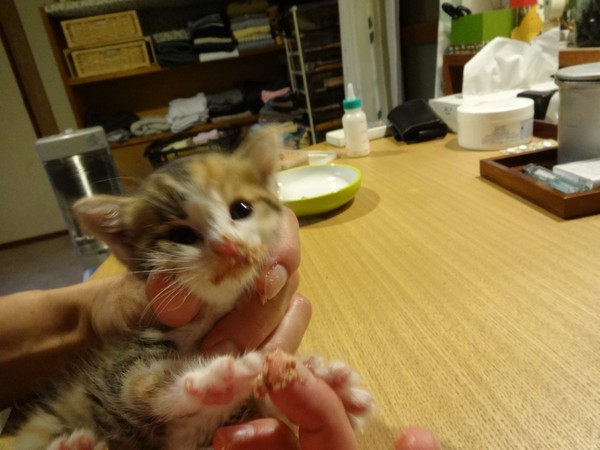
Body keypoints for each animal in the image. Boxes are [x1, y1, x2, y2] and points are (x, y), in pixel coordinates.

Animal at [13, 127, 374, 450]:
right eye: (182, 236)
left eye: (241, 209)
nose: (228, 246)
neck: (212, 313)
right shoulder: (122, 366)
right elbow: (141, 386)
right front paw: (218, 380)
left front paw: (331, 385)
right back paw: (73, 445)